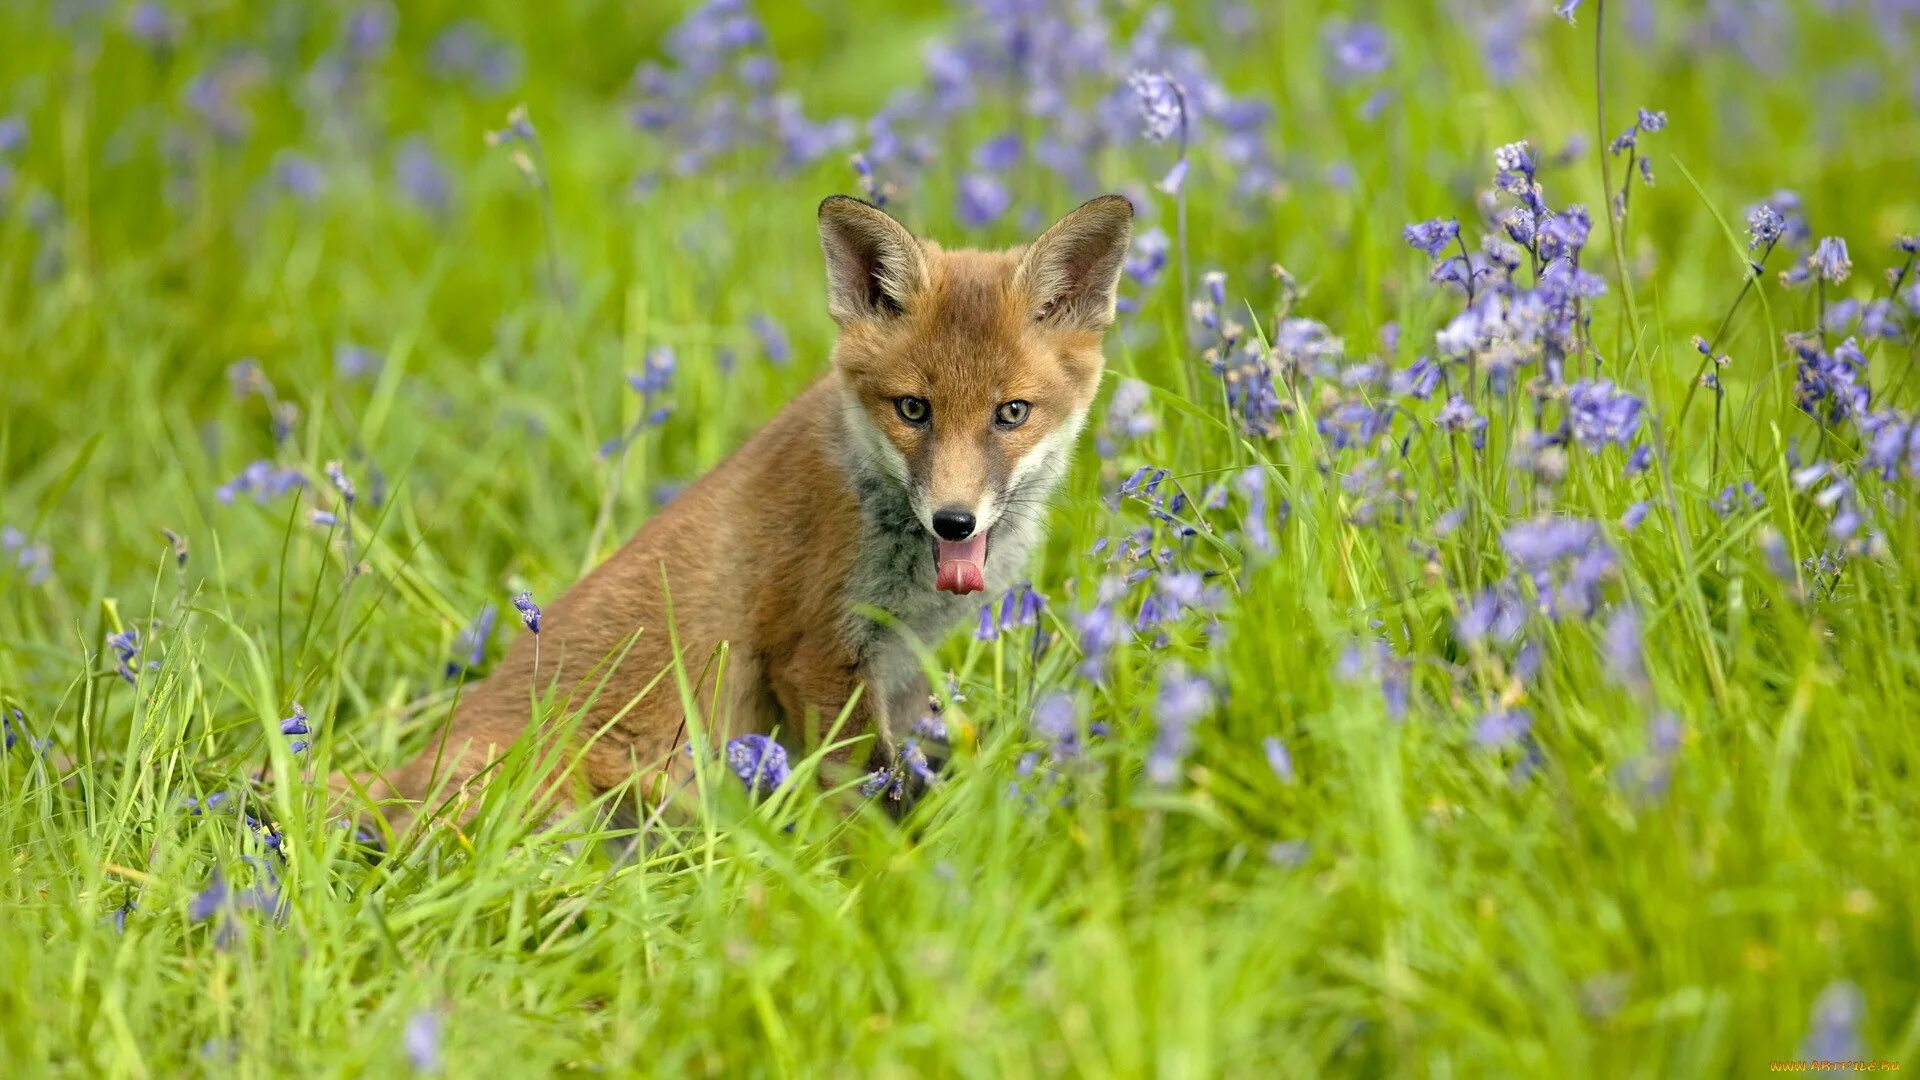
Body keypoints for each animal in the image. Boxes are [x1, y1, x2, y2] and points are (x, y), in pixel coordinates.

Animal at [355, 193, 1128, 834]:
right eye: (914, 409)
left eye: (1011, 414)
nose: (954, 522)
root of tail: (397, 779)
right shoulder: (815, 654)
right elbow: (869, 798)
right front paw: (882, 875)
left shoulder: (903, 670)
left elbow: (905, 774)